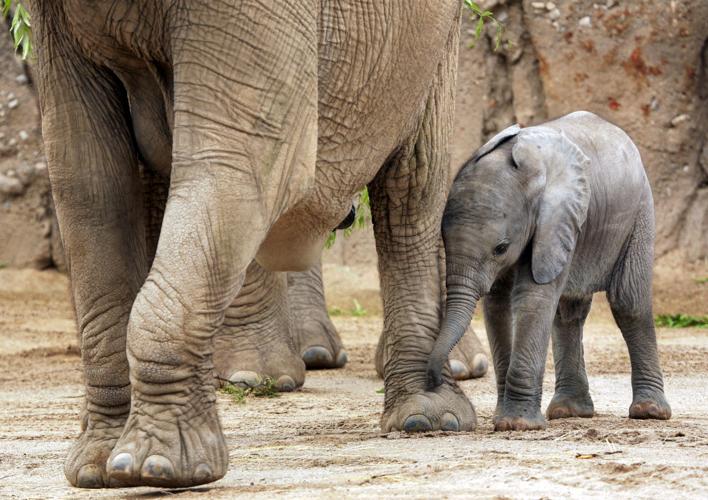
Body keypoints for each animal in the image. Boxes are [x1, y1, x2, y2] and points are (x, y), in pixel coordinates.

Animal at [30, 0, 479, 489]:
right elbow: (88, 184)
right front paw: (100, 468)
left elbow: (242, 160)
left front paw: (156, 466)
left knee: (412, 180)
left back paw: (429, 417)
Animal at [427, 111, 671, 431]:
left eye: (501, 248)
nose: (433, 379)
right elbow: (498, 303)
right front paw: (504, 419)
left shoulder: (556, 221)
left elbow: (532, 298)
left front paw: (517, 424)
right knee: (568, 313)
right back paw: (569, 411)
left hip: (639, 212)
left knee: (629, 303)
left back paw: (649, 412)